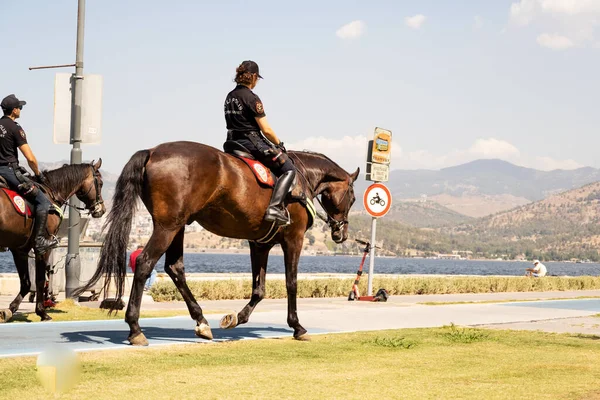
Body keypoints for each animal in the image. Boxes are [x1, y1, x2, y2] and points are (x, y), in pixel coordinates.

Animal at [0, 159, 105, 322]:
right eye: (100, 183)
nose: (102, 209)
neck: (50, 193)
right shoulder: (44, 248)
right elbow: (39, 280)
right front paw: (42, 312)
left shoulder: (20, 249)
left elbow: (26, 282)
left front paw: (10, 309)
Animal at [74, 141, 356, 344]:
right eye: (353, 198)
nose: (341, 234)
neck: (301, 178)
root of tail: (152, 152)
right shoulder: (293, 239)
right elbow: (291, 283)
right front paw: (297, 326)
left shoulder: (259, 244)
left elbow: (259, 289)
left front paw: (236, 318)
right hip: (167, 227)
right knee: (144, 263)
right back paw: (135, 329)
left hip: (177, 226)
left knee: (174, 268)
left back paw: (201, 322)